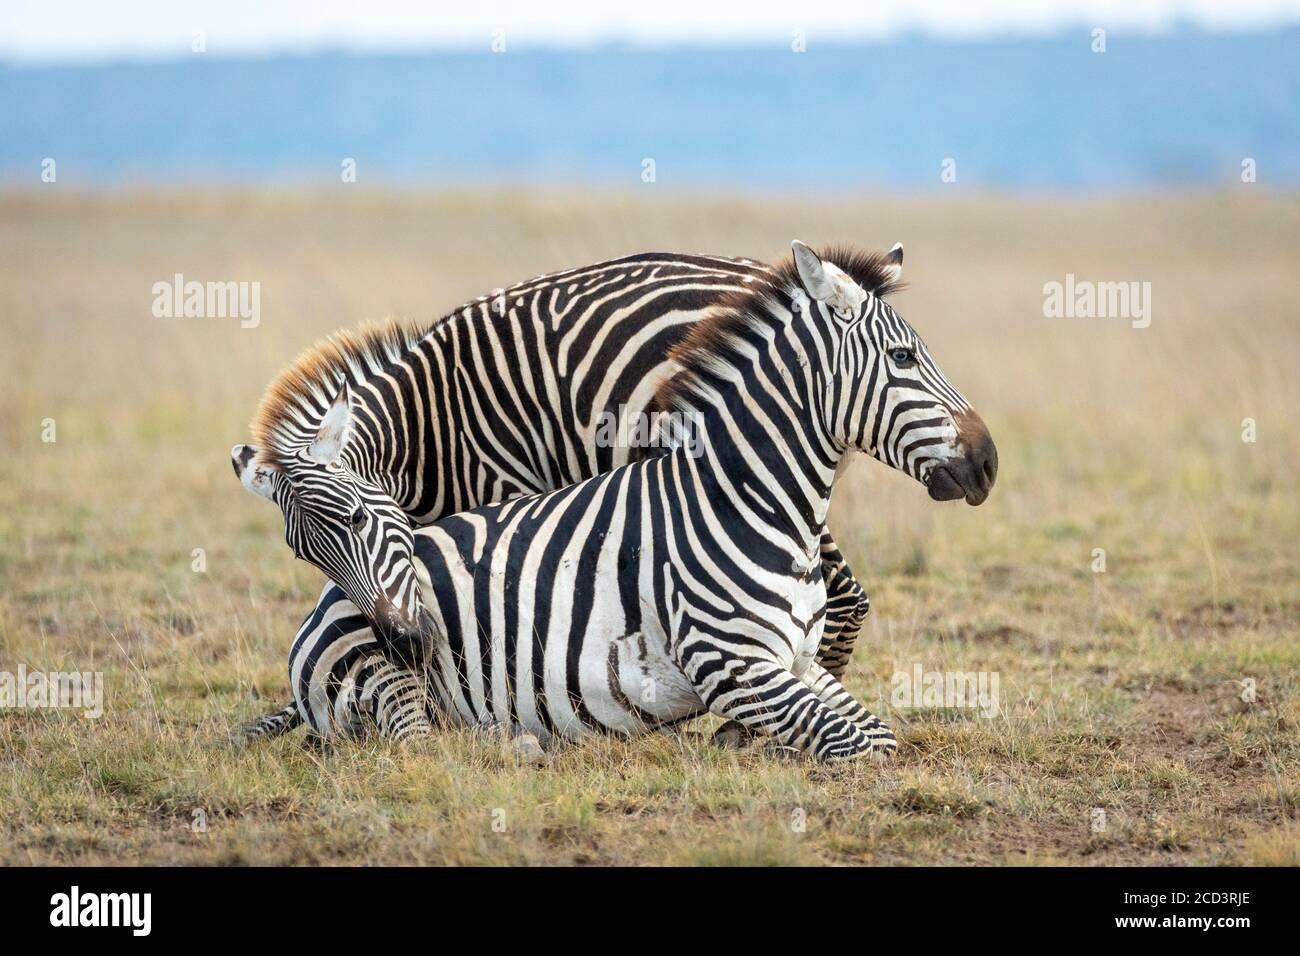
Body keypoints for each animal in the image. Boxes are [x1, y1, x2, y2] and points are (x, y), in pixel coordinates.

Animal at [239, 240, 998, 764]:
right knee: (419, 744)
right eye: (904, 359)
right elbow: (857, 740)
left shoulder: (506, 483)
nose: (987, 461)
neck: (431, 424)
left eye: (361, 519)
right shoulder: (731, 663)